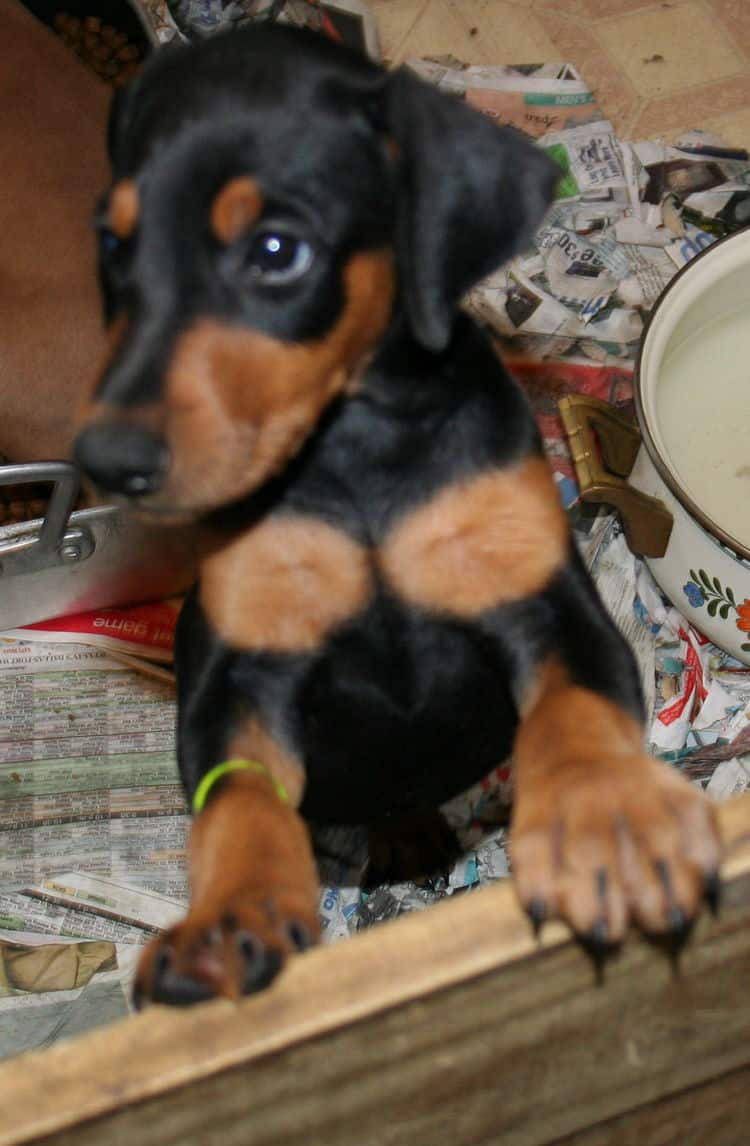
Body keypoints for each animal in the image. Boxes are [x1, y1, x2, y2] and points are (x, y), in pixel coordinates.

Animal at [71, 26, 724, 1008]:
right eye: (113, 243)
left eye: (277, 249)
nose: (106, 460)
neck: (354, 453)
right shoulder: (240, 666)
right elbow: (238, 796)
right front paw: (227, 919)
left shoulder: (548, 602)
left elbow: (576, 711)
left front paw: (605, 818)